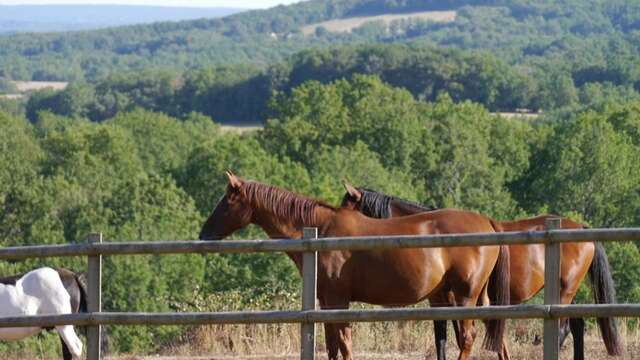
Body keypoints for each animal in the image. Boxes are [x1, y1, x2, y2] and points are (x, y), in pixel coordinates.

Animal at [200, 172, 510, 360]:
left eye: (226, 202)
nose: (204, 235)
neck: (321, 231)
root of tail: (488, 222)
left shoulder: (338, 300)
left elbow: (344, 344)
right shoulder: (326, 303)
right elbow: (332, 346)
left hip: (464, 296)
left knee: (468, 337)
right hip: (476, 298)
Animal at [342, 184, 624, 358]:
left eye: (347, 206)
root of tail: (581, 228)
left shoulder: (458, 300)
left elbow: (461, 337)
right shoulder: (440, 301)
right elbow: (442, 338)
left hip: (564, 291)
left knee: (564, 328)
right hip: (568, 292)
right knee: (576, 326)